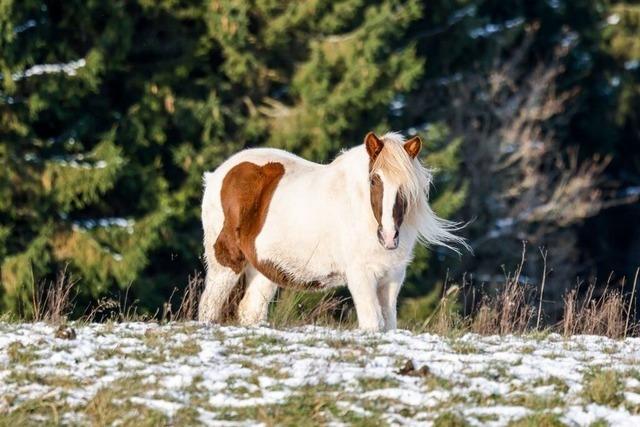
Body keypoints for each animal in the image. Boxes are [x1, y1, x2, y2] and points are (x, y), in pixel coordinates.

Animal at [198, 131, 466, 331]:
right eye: (374, 180)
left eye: (406, 187)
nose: (389, 237)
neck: (362, 209)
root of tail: (219, 174)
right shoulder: (361, 276)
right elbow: (372, 323)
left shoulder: (392, 278)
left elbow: (388, 324)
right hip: (226, 262)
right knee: (209, 306)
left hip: (265, 267)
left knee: (251, 310)